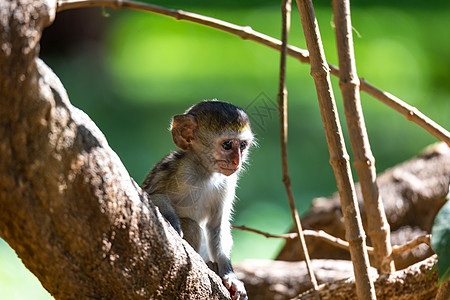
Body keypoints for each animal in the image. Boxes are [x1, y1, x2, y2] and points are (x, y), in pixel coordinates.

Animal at [144, 99, 255, 298]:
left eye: (242, 145)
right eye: (227, 144)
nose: (237, 161)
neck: (205, 172)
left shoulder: (228, 181)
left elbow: (216, 225)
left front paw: (230, 276)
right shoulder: (179, 170)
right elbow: (152, 194)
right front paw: (173, 223)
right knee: (192, 226)